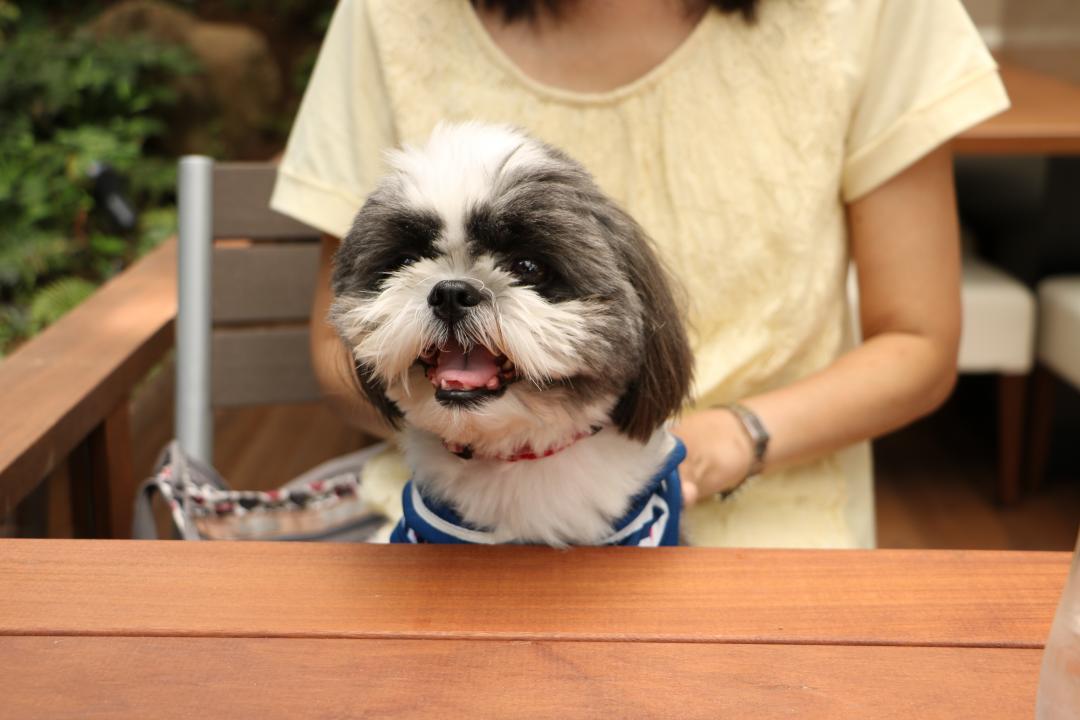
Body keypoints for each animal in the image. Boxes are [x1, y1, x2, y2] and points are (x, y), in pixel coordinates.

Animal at [330, 124, 691, 548]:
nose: (451, 292)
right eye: (404, 261)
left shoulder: (648, 528)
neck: (518, 456)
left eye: (529, 266)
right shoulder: (422, 530)